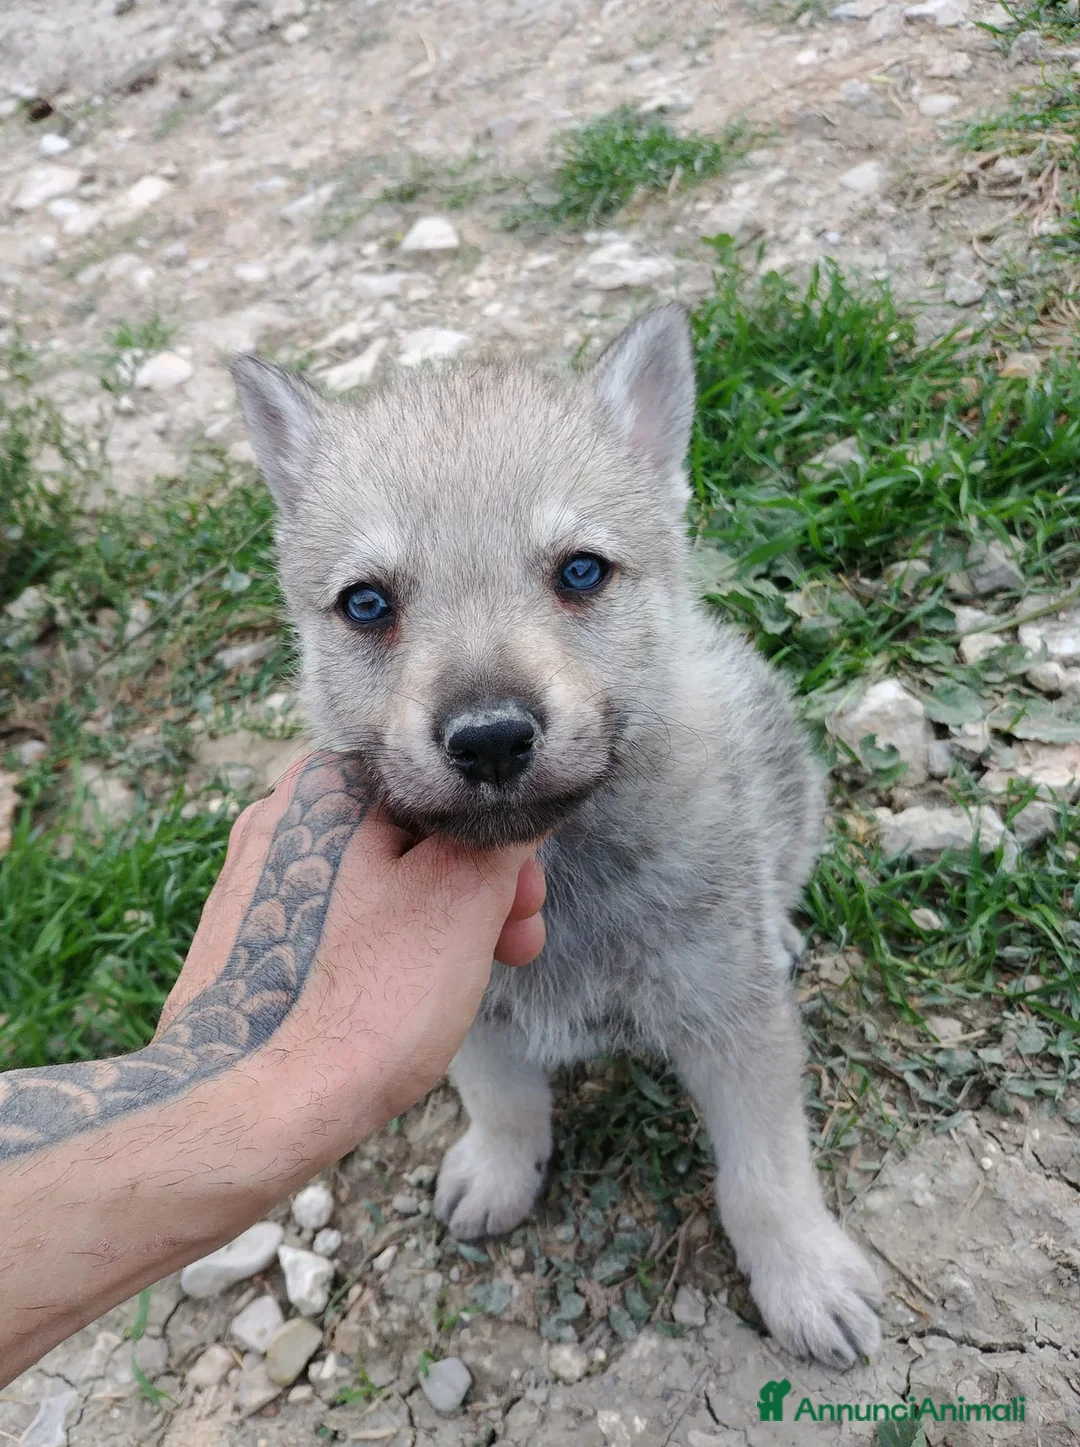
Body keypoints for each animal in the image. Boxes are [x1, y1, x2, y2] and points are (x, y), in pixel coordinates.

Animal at [231, 305, 882, 1368]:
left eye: (581, 571)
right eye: (366, 602)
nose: (491, 737)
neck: (558, 865)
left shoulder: (731, 1023)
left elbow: (765, 1171)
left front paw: (805, 1277)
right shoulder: (464, 1012)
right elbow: (504, 1101)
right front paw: (500, 1172)